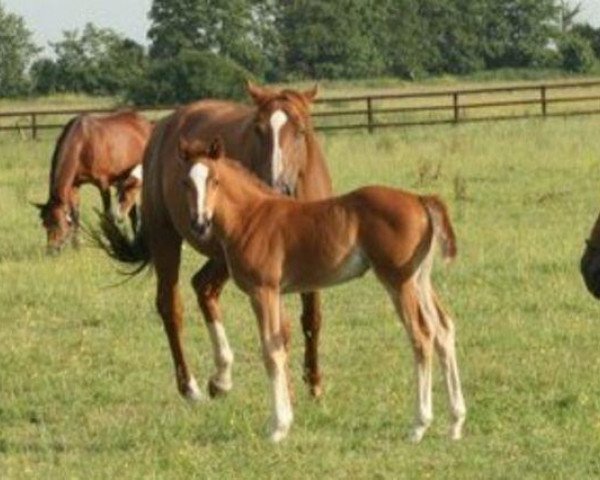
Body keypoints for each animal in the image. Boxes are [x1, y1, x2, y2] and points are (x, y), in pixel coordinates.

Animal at [34, 111, 152, 255]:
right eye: (44, 224)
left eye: (58, 223)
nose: (51, 251)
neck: (81, 142)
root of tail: (145, 123)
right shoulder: (74, 186)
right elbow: (75, 215)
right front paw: (76, 246)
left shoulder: (103, 183)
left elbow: (107, 215)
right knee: (131, 211)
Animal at [98, 83, 332, 404]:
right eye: (258, 129)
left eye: (301, 129)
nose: (274, 185)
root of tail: (164, 126)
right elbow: (280, 328)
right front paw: (288, 391)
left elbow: (312, 318)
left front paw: (315, 383)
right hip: (165, 238)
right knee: (170, 305)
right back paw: (190, 386)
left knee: (204, 287)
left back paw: (221, 378)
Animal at [176, 138, 466, 442]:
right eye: (185, 182)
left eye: (215, 180)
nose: (199, 223)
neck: (251, 217)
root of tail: (419, 199)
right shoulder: (276, 293)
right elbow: (281, 345)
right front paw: (286, 421)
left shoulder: (262, 291)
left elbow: (270, 352)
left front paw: (277, 428)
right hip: (420, 279)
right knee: (444, 330)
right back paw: (455, 422)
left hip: (398, 281)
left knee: (422, 337)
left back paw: (419, 425)